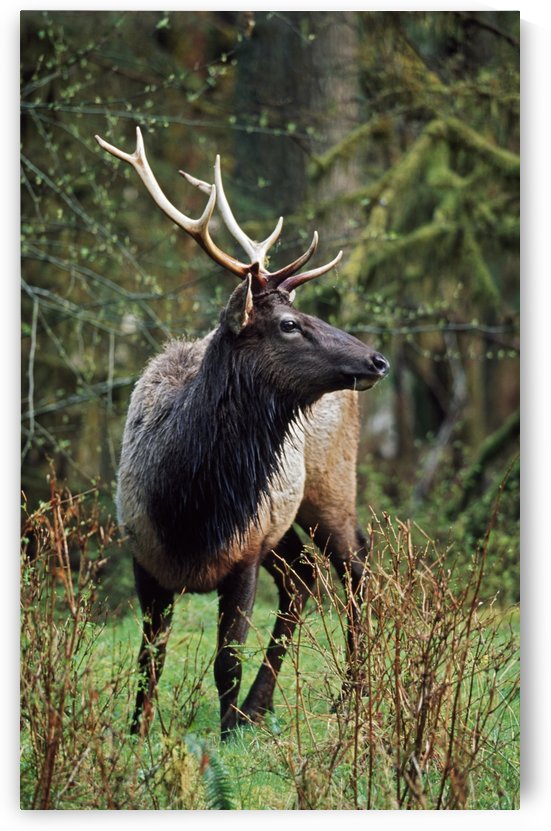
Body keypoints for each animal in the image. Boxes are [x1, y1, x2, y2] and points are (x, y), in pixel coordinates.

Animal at [95, 127, 390, 739]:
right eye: (289, 323)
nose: (377, 360)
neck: (189, 506)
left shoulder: (245, 551)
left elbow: (224, 658)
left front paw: (227, 733)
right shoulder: (142, 551)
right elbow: (149, 656)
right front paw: (137, 731)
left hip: (329, 486)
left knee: (354, 565)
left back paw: (349, 696)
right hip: (284, 518)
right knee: (303, 578)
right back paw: (264, 704)